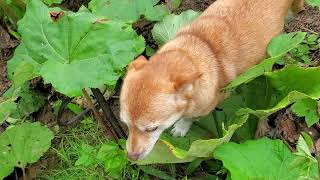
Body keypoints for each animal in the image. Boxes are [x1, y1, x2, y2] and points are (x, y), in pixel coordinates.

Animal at [119, 0, 302, 160]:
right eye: (125, 124)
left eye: (152, 129)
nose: (131, 157)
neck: (194, 52)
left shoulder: (205, 106)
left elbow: (189, 118)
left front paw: (181, 127)